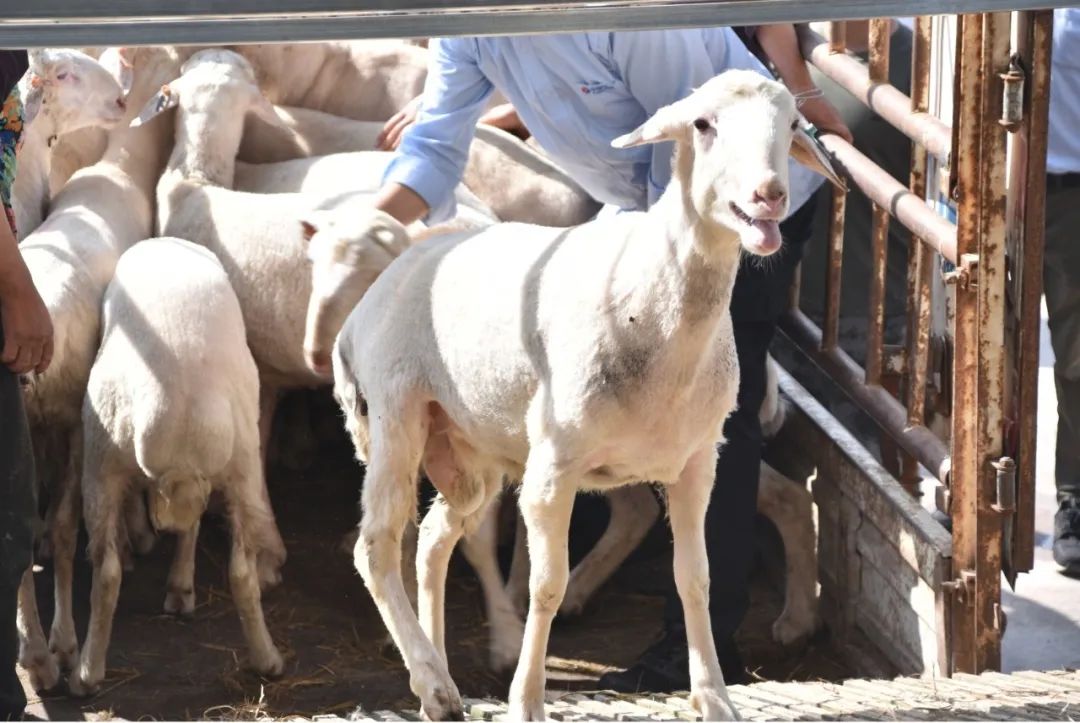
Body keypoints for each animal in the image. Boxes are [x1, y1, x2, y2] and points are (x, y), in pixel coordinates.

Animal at [69, 236, 285, 691]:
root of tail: (176, 401)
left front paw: (179, 587)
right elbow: (195, 530)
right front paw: (181, 586)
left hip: (101, 460)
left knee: (107, 572)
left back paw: (88, 670)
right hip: (241, 467)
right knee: (242, 572)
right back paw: (267, 658)